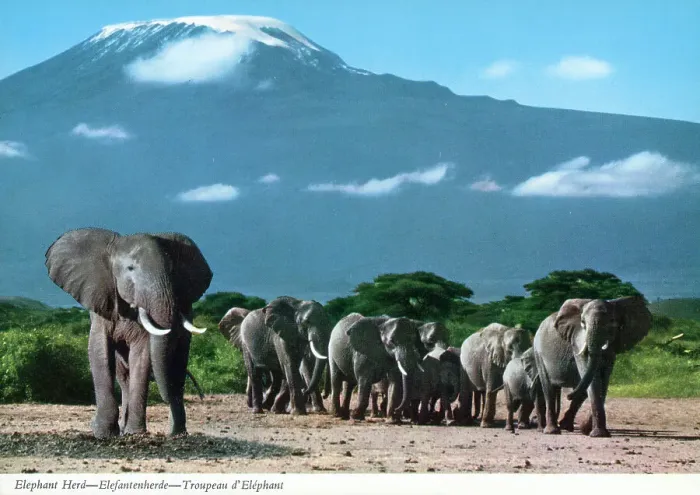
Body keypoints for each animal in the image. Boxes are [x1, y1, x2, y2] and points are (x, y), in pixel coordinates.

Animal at [45, 228, 212, 438]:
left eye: (173, 271)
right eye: (130, 268)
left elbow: (142, 355)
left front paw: (134, 433)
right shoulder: (103, 301)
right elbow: (99, 350)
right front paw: (103, 433)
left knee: (176, 368)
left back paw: (175, 433)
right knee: (125, 375)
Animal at [533, 296, 651, 437]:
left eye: (612, 321)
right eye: (583, 323)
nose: (568, 396)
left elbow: (603, 381)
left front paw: (590, 430)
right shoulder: (578, 341)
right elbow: (594, 380)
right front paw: (598, 434)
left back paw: (566, 426)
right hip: (538, 353)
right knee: (549, 387)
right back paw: (552, 431)